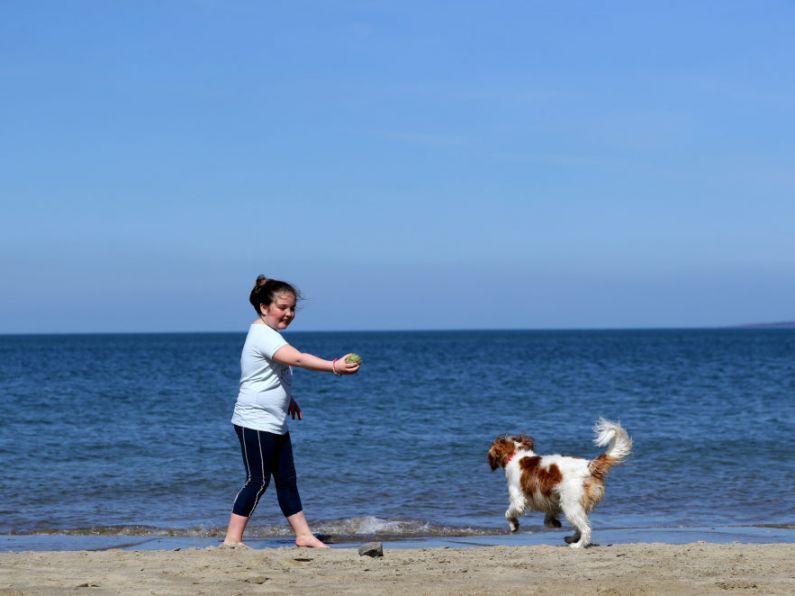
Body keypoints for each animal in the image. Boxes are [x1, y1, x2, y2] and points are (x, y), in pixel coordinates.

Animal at [488, 416, 632, 548]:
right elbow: (547, 519)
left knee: (585, 528)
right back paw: (572, 538)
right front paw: (554, 523)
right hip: (573, 504)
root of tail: (590, 465)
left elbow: (508, 512)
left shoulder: (518, 500)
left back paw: (578, 545)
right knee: (581, 525)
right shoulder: (552, 499)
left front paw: (514, 525)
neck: (516, 455)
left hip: (570, 504)